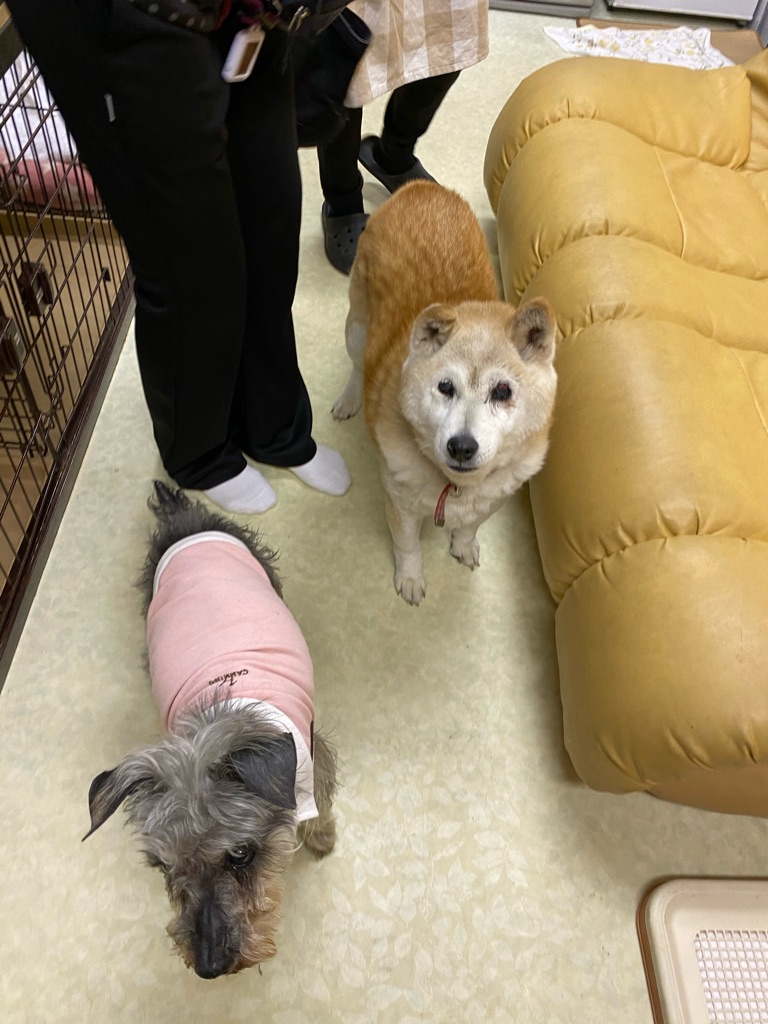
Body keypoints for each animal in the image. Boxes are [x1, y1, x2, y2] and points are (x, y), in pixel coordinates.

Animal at [83, 482, 338, 978]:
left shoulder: (313, 755)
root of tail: (184, 518)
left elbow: (319, 804)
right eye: (162, 866)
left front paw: (321, 839)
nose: (208, 966)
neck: (216, 718)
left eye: (240, 855)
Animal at [332, 180, 558, 605]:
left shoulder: (494, 496)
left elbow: (470, 527)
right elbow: (408, 547)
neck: (455, 488)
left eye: (503, 391)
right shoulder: (399, 502)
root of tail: (421, 187)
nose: (462, 447)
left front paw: (463, 545)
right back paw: (351, 398)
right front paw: (410, 578)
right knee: (357, 364)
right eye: (445, 387)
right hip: (357, 326)